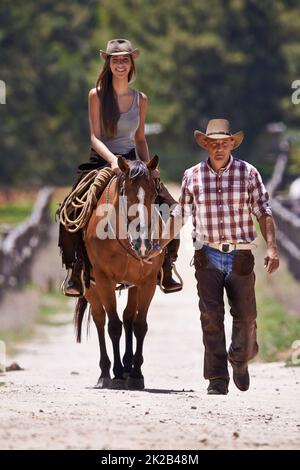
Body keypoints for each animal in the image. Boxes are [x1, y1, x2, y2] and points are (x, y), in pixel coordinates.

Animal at [74, 156, 164, 392]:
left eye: (154, 193)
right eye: (126, 193)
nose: (143, 243)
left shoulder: (147, 282)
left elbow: (140, 325)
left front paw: (136, 374)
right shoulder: (104, 279)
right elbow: (113, 326)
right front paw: (115, 374)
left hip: (133, 285)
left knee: (128, 318)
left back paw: (127, 367)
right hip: (91, 287)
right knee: (100, 319)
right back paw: (106, 372)